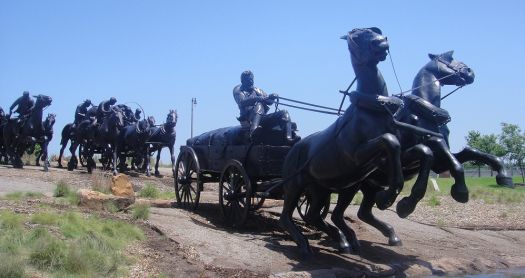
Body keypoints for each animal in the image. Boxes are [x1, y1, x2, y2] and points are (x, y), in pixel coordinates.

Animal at [278, 28, 410, 256]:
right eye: (358, 36)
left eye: (374, 31)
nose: (381, 42)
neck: (373, 109)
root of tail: (293, 149)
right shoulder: (357, 155)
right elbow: (389, 140)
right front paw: (387, 197)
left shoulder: (379, 163)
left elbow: (412, 151)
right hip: (295, 185)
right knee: (286, 216)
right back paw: (304, 245)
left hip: (324, 189)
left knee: (316, 215)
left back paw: (344, 241)